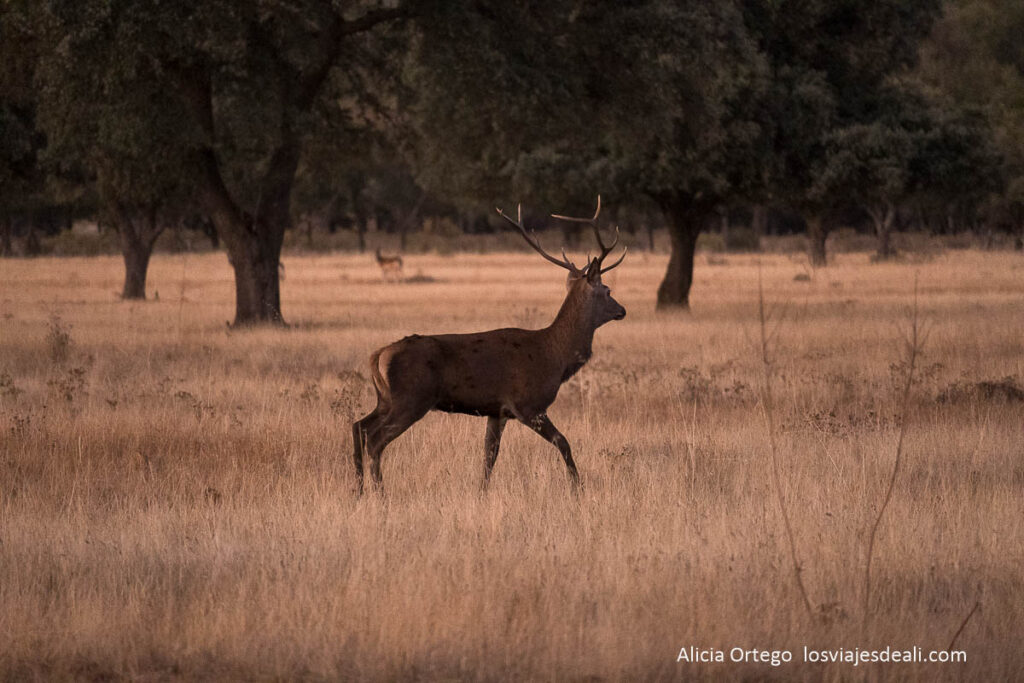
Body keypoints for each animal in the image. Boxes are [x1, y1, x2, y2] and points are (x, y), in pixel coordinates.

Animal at [351, 197, 626, 495]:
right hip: (411, 397)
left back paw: (359, 490)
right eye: (608, 291)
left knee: (358, 426)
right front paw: (578, 488)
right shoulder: (527, 403)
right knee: (375, 440)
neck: (555, 356)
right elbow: (563, 442)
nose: (622, 310)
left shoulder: (497, 411)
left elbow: (489, 456)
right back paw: (380, 493)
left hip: (386, 399)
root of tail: (378, 356)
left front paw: (481, 492)